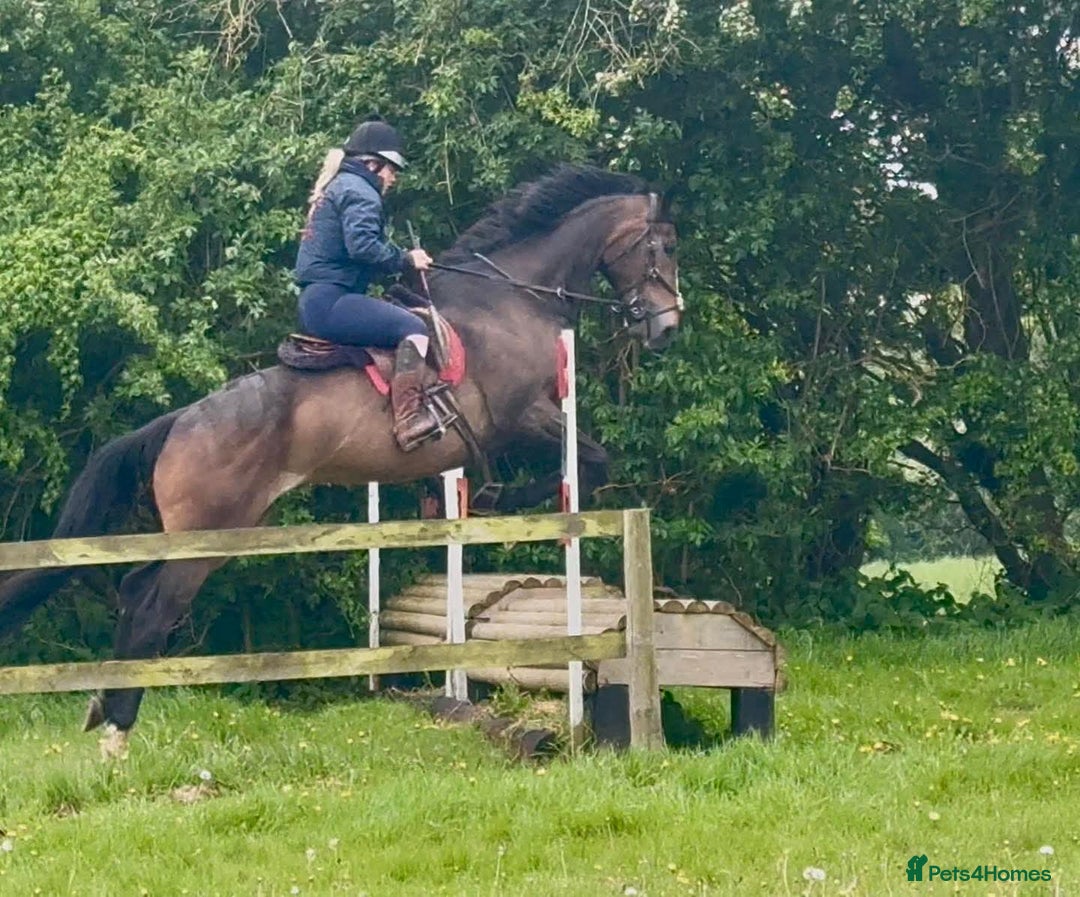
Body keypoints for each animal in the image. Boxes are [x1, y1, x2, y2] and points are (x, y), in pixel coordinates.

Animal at [0, 164, 682, 754]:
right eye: (666, 248)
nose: (668, 329)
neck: (512, 297)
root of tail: (181, 422)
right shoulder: (523, 416)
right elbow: (590, 460)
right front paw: (497, 497)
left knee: (136, 589)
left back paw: (103, 709)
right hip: (209, 533)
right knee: (151, 606)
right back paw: (116, 732)